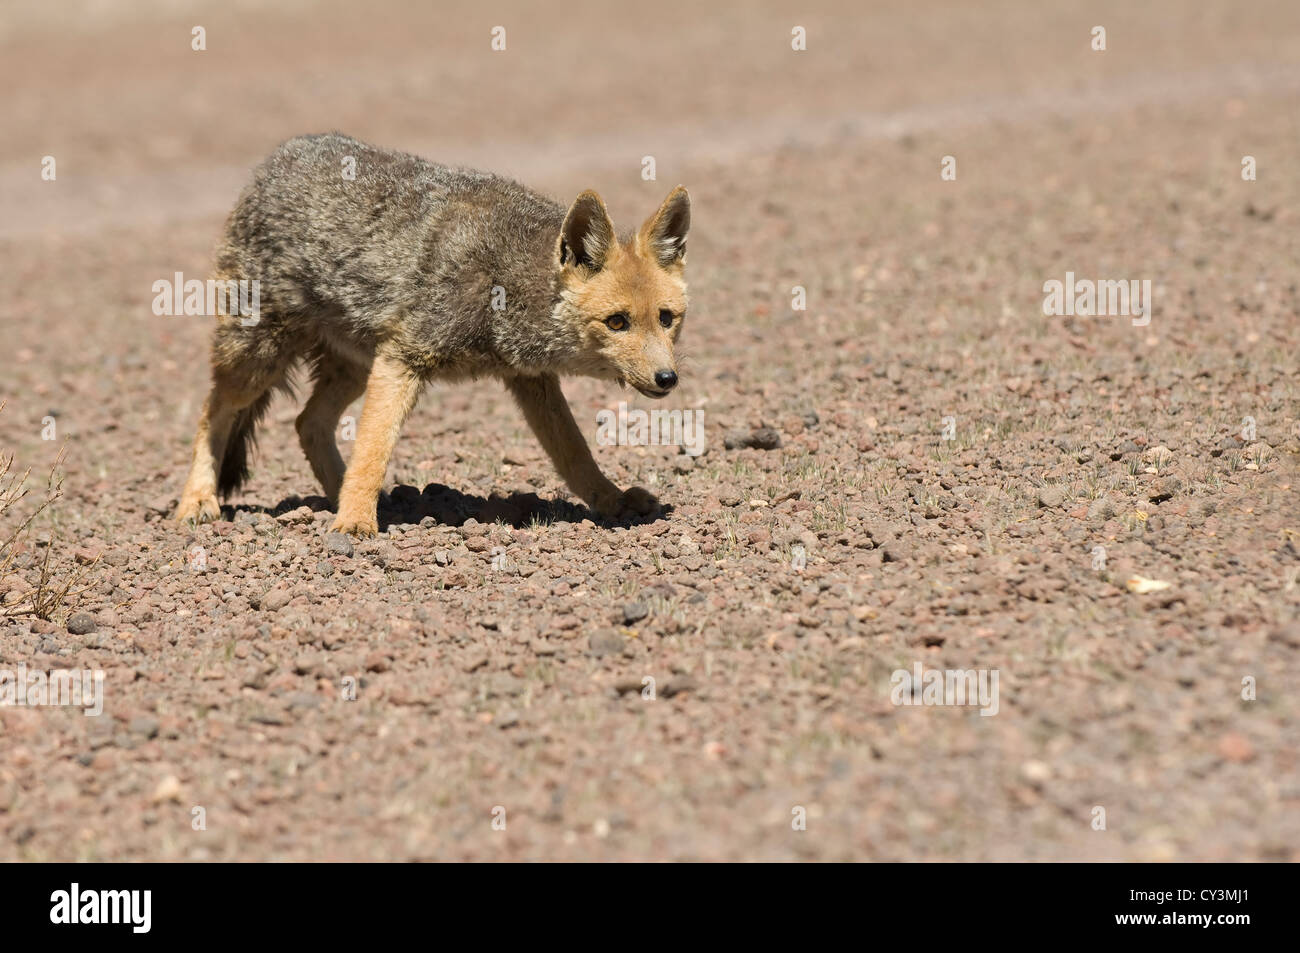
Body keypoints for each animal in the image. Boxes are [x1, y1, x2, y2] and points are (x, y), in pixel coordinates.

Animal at [176, 133, 690, 536]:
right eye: (618, 321)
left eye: (667, 319)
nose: (668, 380)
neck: (504, 275)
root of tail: (276, 159)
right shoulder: (404, 358)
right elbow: (374, 447)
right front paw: (354, 523)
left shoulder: (530, 379)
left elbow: (575, 452)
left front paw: (611, 499)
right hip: (259, 360)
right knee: (212, 411)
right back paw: (198, 500)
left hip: (352, 368)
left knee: (307, 423)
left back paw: (343, 494)